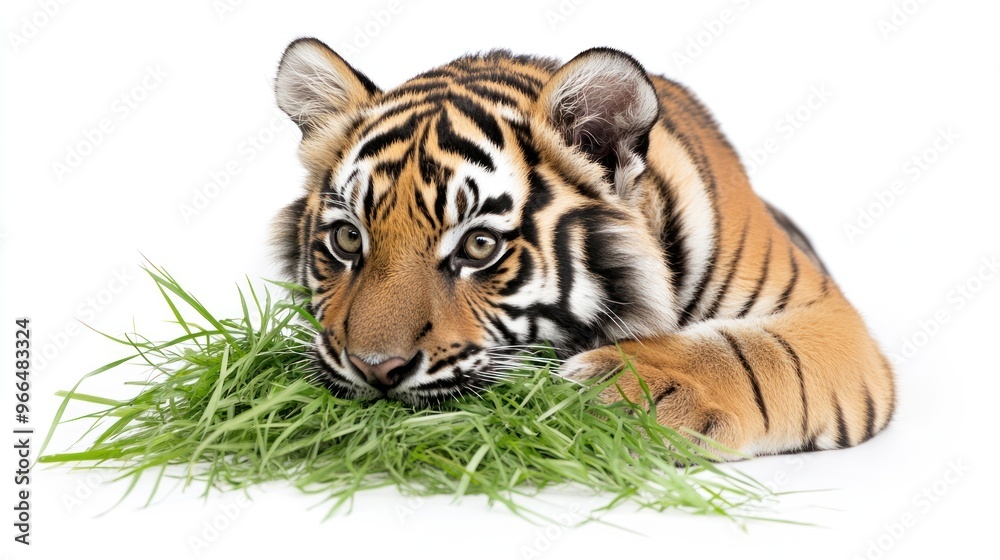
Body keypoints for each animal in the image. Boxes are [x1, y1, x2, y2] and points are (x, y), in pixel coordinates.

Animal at [271, 37, 895, 459]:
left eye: (478, 246)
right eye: (348, 238)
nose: (374, 369)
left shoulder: (830, 315)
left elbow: (758, 352)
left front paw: (630, 390)